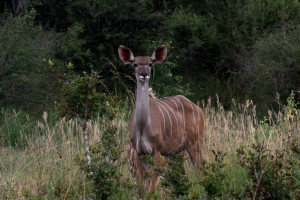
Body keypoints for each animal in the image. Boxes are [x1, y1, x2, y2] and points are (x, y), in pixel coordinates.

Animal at [118, 44, 205, 192]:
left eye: (150, 64)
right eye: (135, 64)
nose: (144, 74)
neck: (142, 127)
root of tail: (198, 109)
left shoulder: (157, 151)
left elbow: (151, 188)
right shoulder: (140, 153)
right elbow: (144, 186)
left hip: (194, 144)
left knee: (200, 170)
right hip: (175, 153)